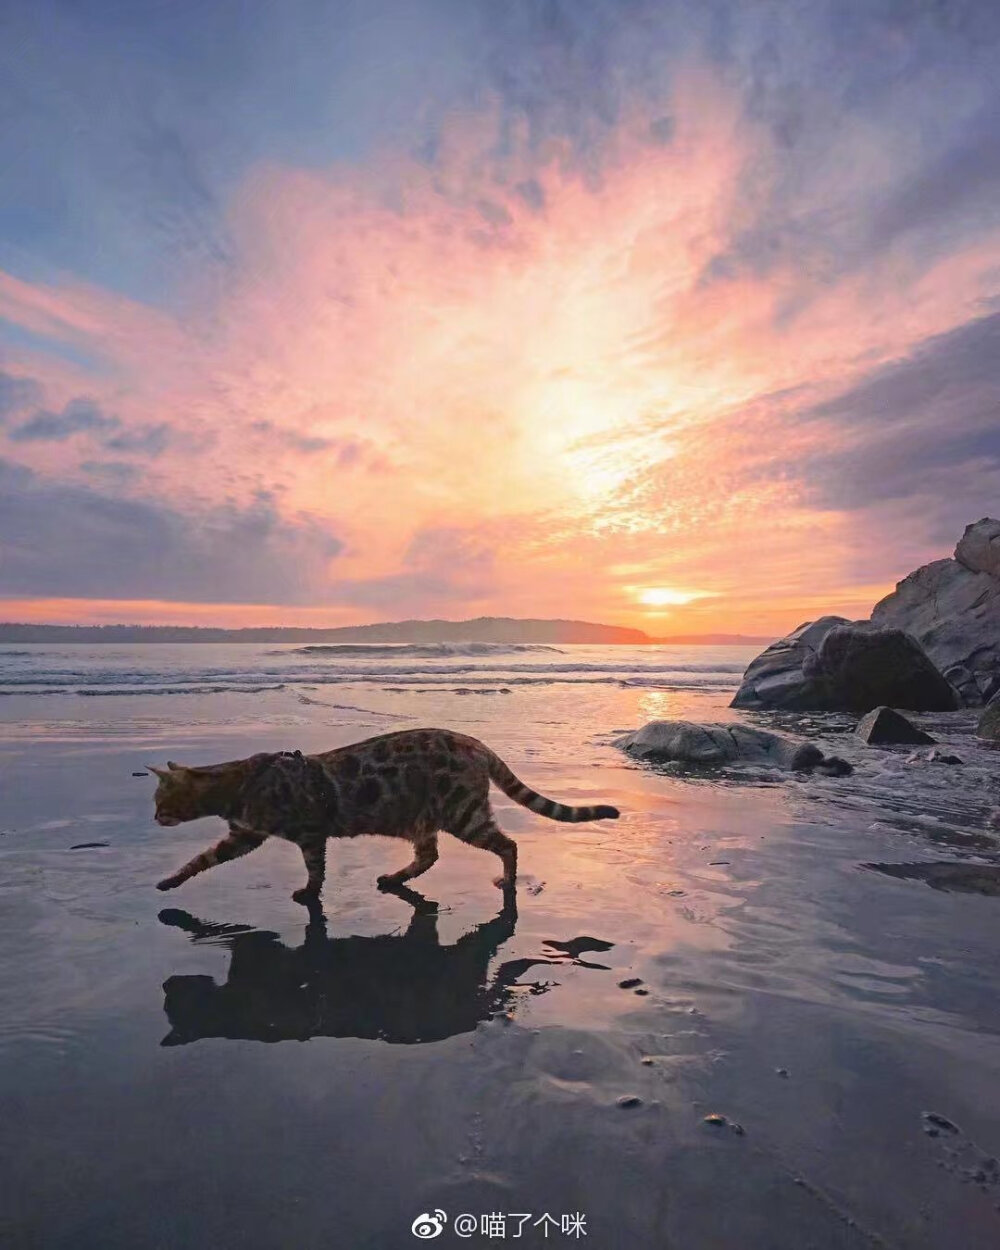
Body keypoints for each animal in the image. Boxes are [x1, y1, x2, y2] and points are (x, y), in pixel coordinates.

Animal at [148, 730, 617, 905]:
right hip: (423, 817)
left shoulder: (309, 831)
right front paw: (171, 879)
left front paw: (310, 891)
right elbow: (202, 859)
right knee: (429, 856)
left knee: (508, 844)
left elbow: (315, 869)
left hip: (461, 812)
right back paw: (396, 878)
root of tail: (476, 743)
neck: (238, 784)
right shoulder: (244, 835)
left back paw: (508, 880)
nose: (153, 818)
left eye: (159, 800)